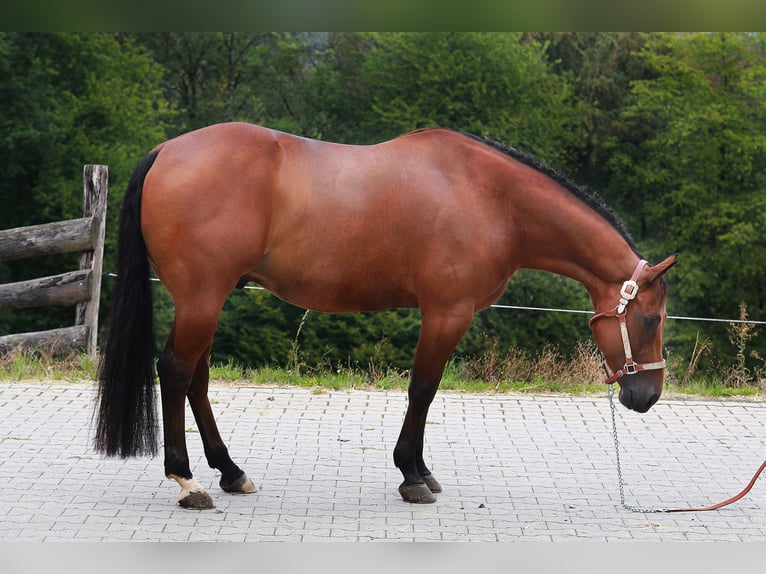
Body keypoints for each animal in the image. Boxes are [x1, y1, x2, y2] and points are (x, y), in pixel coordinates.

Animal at [94, 123, 677, 509]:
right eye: (651, 320)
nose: (646, 396)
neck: (493, 199)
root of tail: (166, 150)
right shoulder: (446, 313)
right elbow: (423, 389)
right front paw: (412, 476)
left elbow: (424, 392)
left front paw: (419, 470)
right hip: (201, 297)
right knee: (175, 371)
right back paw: (187, 481)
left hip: (208, 300)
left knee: (196, 378)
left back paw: (231, 473)